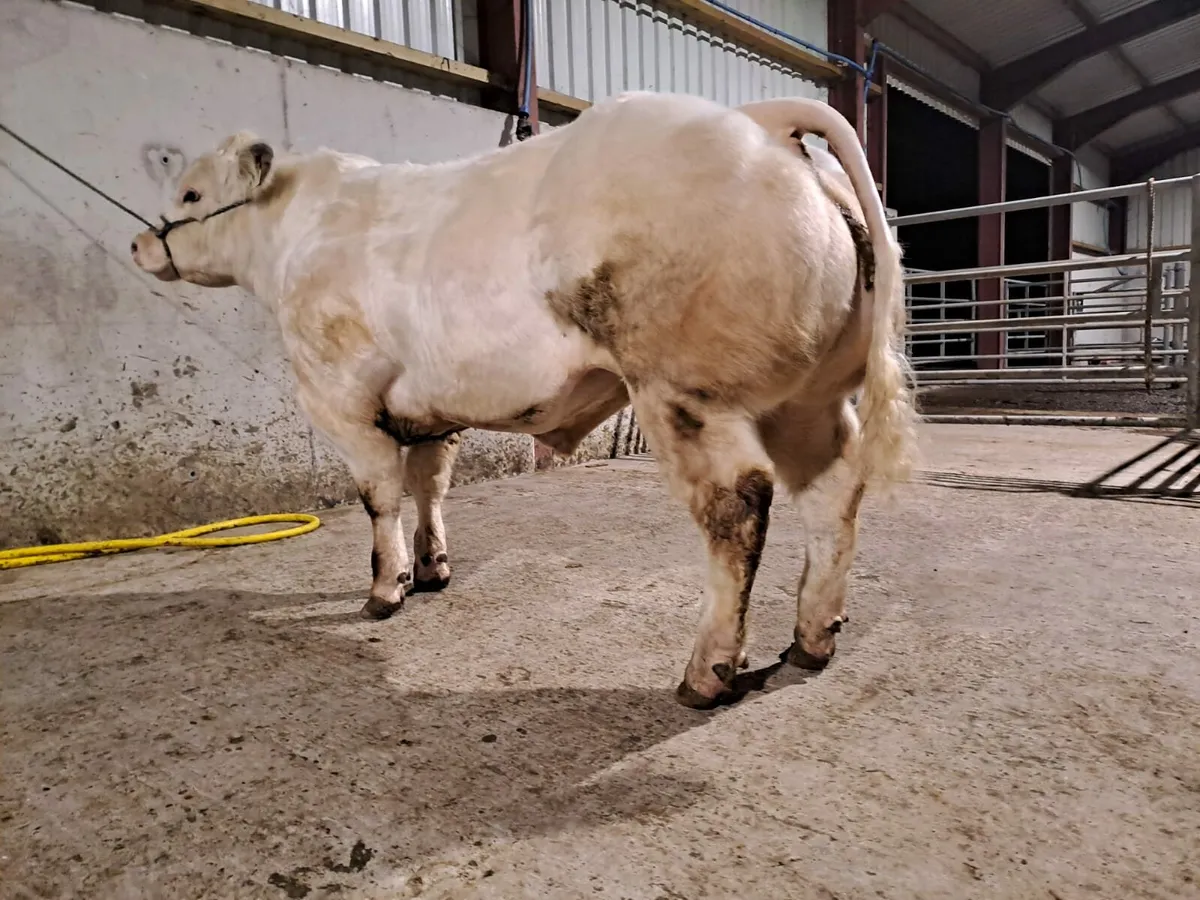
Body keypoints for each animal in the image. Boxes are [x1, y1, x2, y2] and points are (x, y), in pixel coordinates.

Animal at [130, 90, 919, 709]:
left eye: (192, 195)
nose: (141, 243)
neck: (295, 235)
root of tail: (760, 118)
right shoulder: (429, 411)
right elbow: (430, 486)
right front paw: (432, 569)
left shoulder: (342, 399)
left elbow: (380, 497)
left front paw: (386, 589)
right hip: (808, 401)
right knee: (832, 491)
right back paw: (812, 638)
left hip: (685, 393)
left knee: (737, 504)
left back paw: (708, 671)